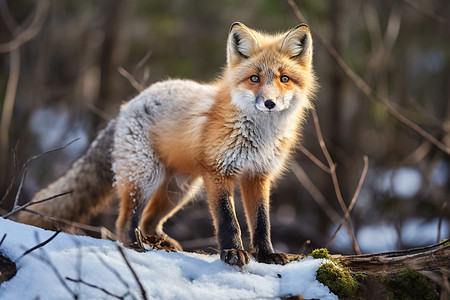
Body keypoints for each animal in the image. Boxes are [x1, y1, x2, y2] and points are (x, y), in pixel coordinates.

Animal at [18, 24, 316, 268]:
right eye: (254, 78)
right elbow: (228, 220)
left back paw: (159, 241)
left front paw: (266, 254)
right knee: (125, 220)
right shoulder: (219, 171)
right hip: (146, 177)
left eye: (284, 79)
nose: (269, 103)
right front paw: (232, 252)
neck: (259, 136)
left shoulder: (258, 176)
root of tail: (127, 105)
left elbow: (262, 222)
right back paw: (134, 245)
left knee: (149, 219)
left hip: (178, 190)